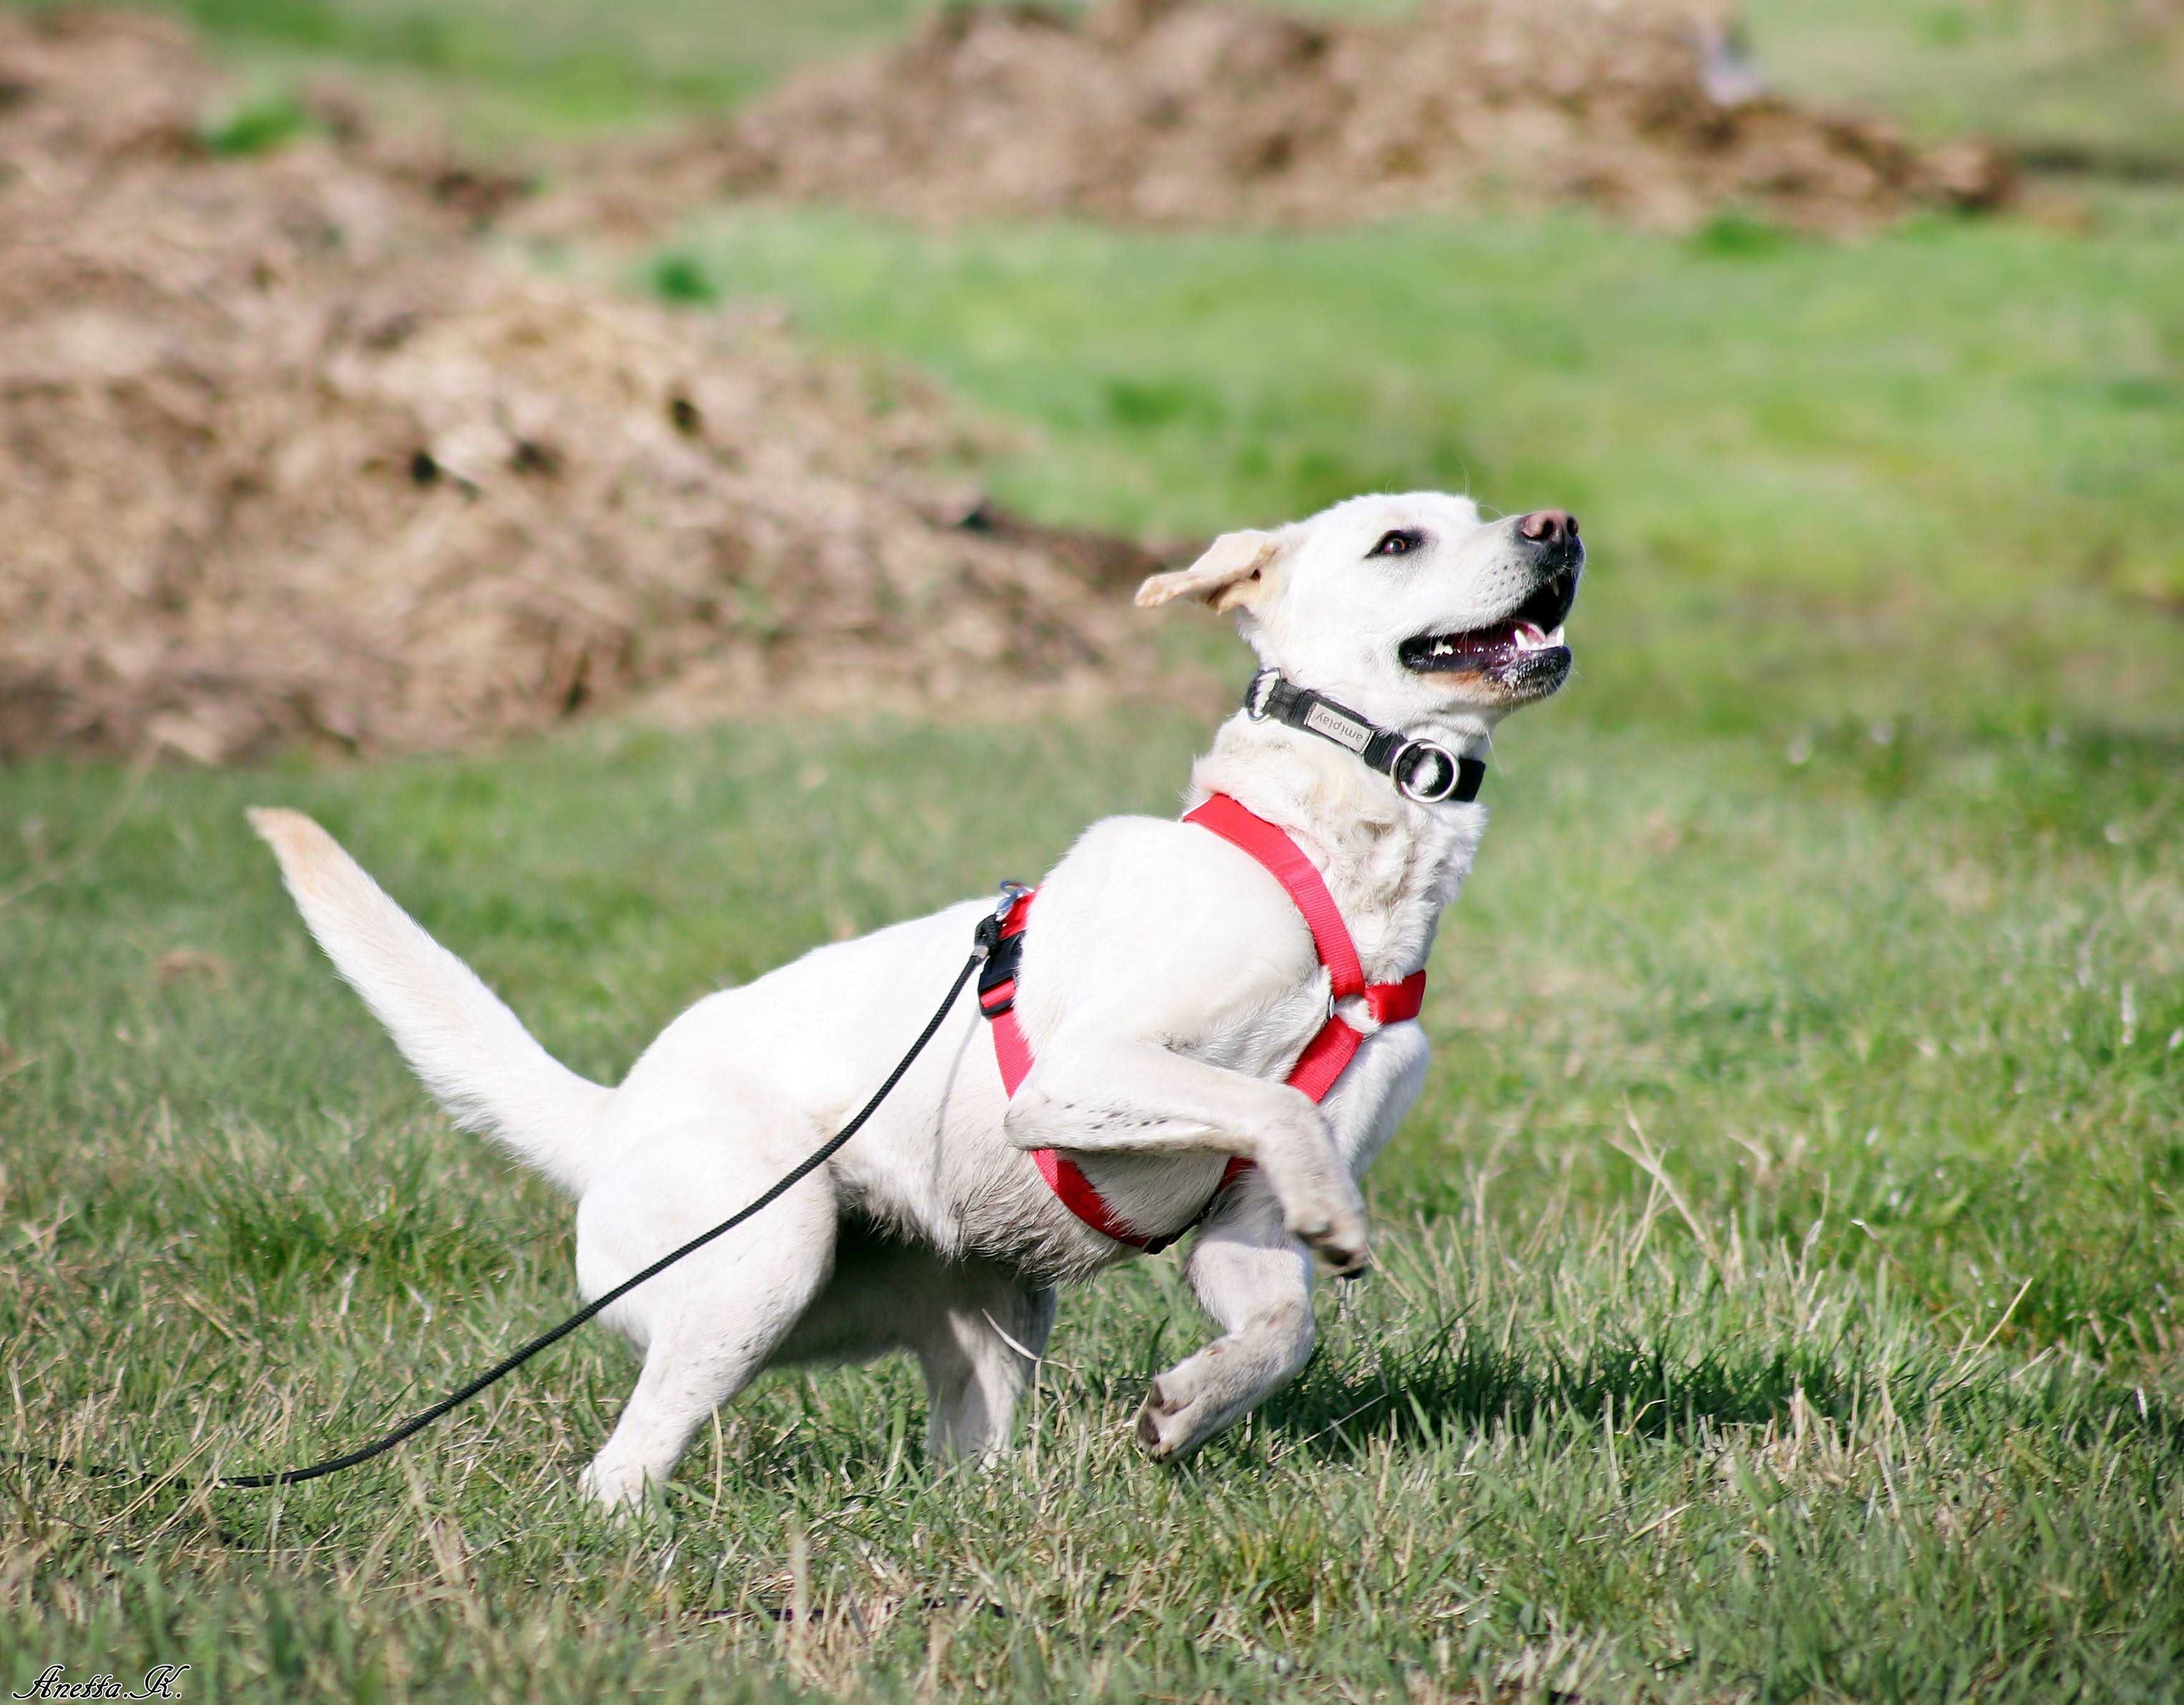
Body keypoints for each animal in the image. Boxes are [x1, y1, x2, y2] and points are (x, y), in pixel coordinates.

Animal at [251, 488, 1590, 1502]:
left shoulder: (1240, 1232)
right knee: (619, 1467)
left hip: (995, 1321)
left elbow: (1278, 1328)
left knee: (965, 1453)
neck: (1332, 856)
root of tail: (613, 1114)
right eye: (1398, 541)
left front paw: (1185, 1409)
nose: (1559, 525)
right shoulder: (1085, 1073)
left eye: (1481, 509)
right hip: (764, 1254)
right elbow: (1276, 1104)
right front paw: (1334, 1226)